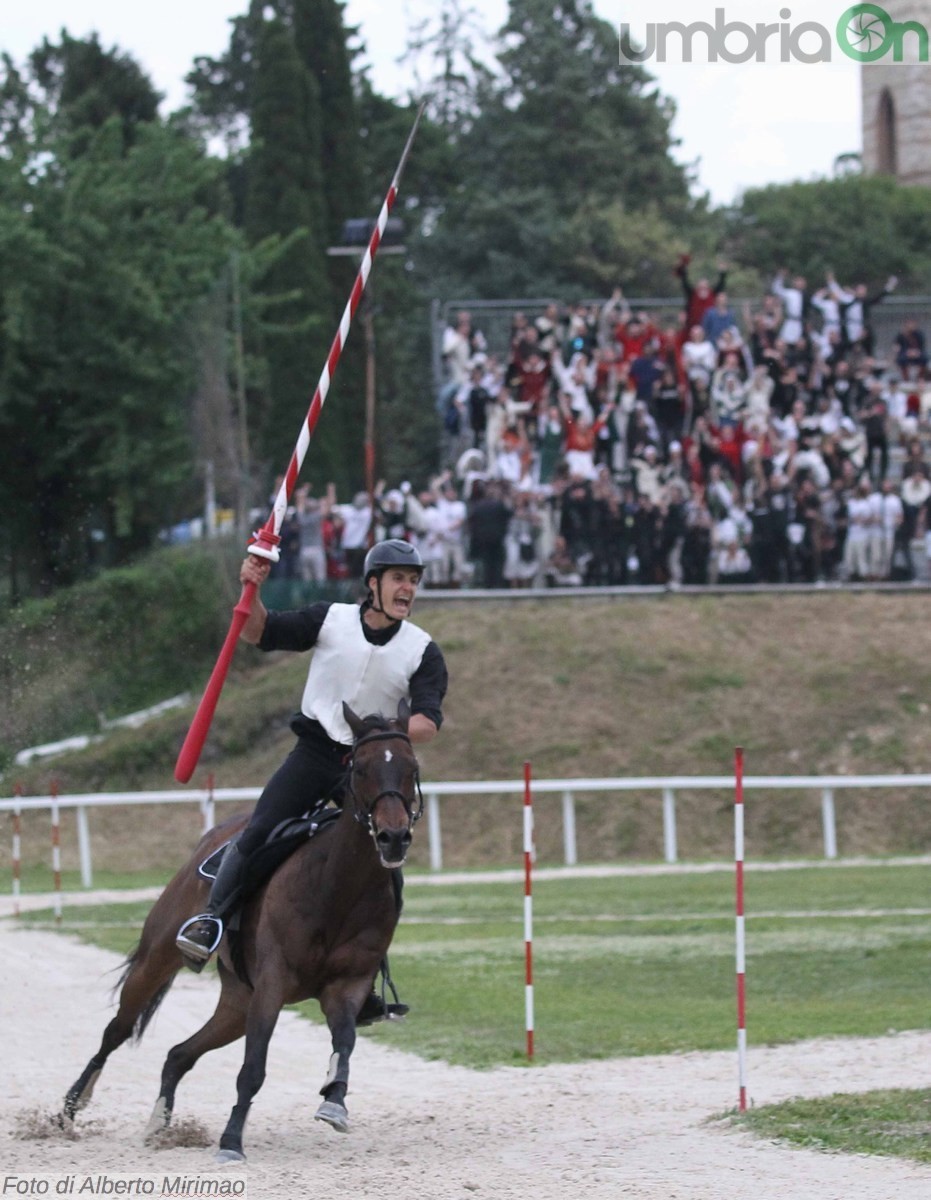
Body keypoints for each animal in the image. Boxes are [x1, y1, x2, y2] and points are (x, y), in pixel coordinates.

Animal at [59, 700, 419, 1161]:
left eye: (411, 767)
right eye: (360, 768)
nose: (393, 837)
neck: (337, 885)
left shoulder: (347, 986)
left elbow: (345, 1043)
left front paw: (334, 1101)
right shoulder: (272, 984)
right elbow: (253, 1068)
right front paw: (231, 1141)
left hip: (236, 1003)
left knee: (179, 1054)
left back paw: (159, 1122)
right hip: (158, 958)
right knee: (116, 1030)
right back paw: (71, 1106)